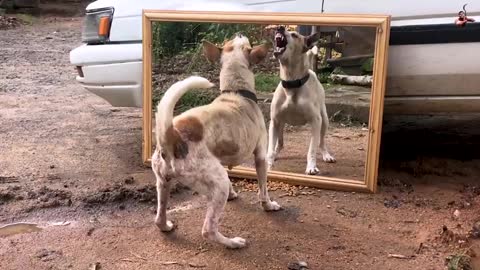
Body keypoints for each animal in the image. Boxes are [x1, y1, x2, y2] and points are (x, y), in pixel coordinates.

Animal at [152, 33, 282, 249]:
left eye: (232, 42)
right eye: (246, 43)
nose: (239, 33)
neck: (236, 91)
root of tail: (172, 136)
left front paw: (233, 193)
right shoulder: (261, 157)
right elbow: (263, 188)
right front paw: (268, 205)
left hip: (163, 183)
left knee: (159, 219)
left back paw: (167, 226)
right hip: (217, 182)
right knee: (208, 230)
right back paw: (232, 242)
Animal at [266, 25, 338, 175]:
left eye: (294, 35)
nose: (279, 27)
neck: (292, 83)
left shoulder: (316, 121)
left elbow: (312, 149)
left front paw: (311, 167)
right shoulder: (274, 121)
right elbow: (270, 149)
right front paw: (268, 165)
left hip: (324, 121)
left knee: (321, 142)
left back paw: (326, 155)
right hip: (280, 124)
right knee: (280, 143)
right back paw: (276, 154)